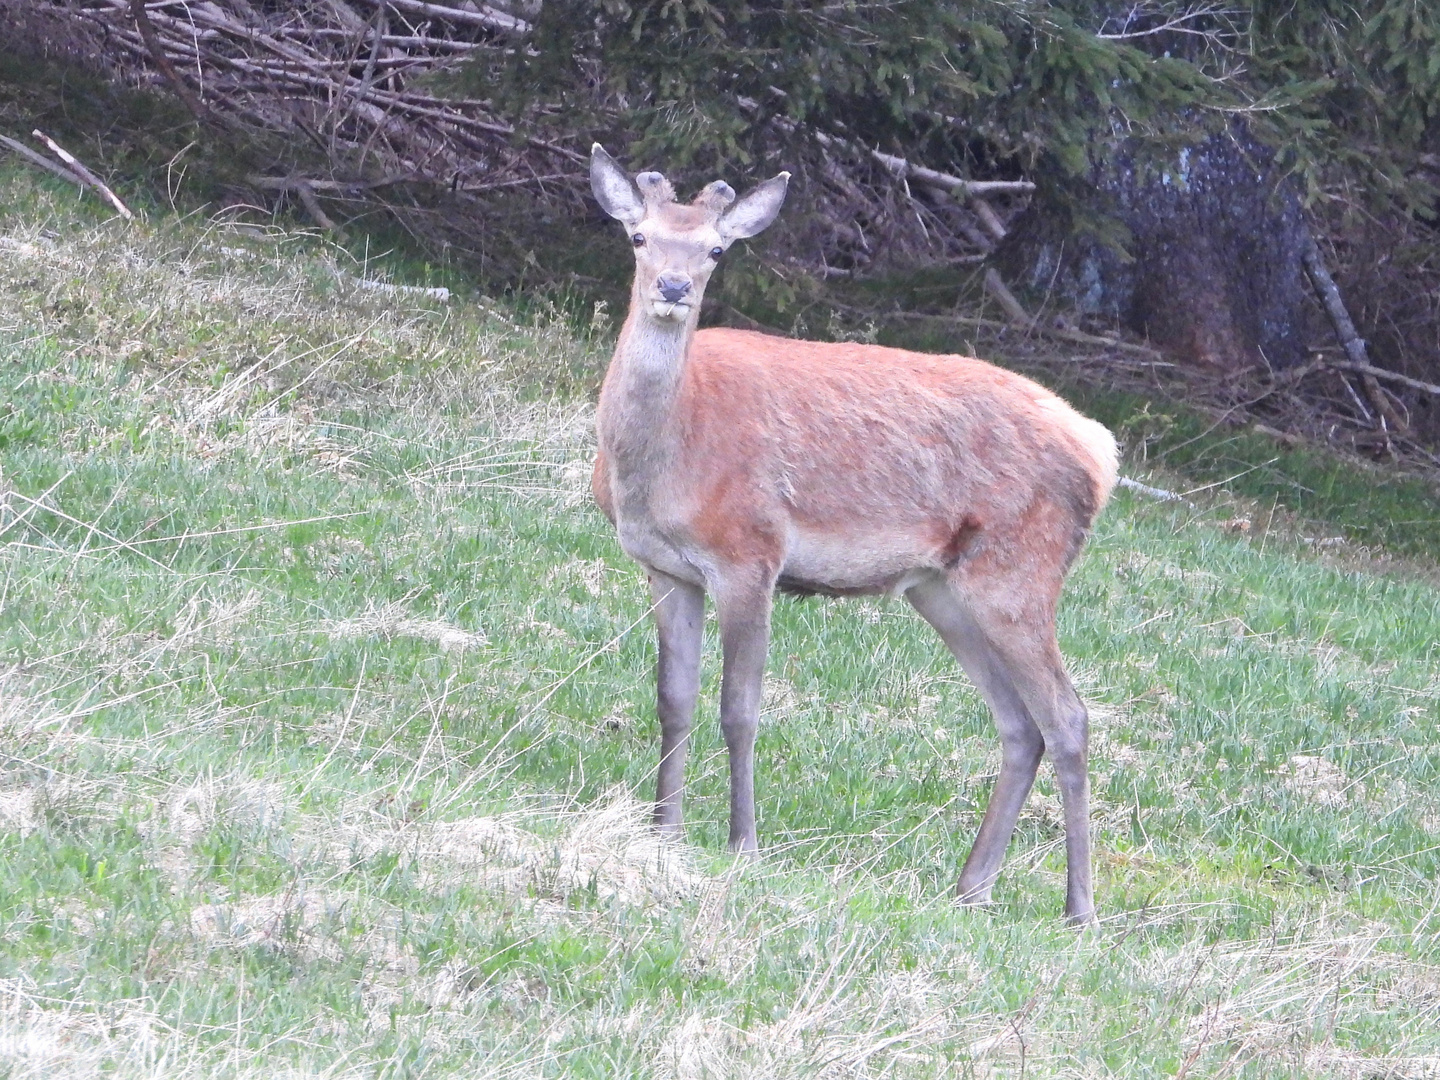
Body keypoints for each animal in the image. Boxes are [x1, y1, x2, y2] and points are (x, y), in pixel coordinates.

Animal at [590, 141, 1117, 921]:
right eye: (638, 237)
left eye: (717, 248)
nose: (676, 287)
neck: (666, 461)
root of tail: (1101, 452)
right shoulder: (664, 567)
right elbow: (673, 699)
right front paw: (665, 828)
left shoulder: (751, 555)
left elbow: (739, 707)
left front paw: (743, 842)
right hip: (943, 589)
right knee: (1021, 724)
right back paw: (969, 886)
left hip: (1020, 572)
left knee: (1069, 718)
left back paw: (1078, 908)